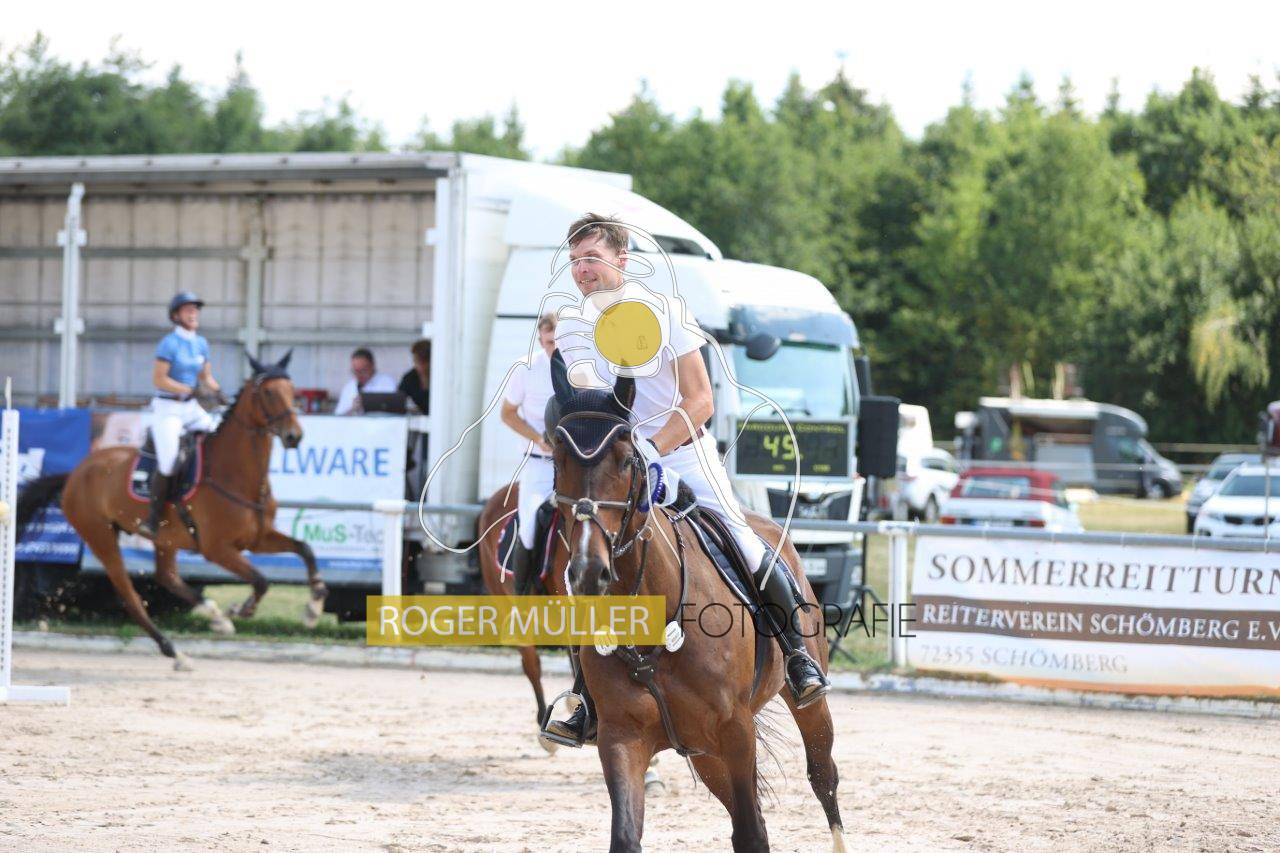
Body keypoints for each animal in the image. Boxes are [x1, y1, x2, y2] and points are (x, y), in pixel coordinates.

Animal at [16, 351, 328, 671]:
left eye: (292, 391)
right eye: (267, 392)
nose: (294, 436)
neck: (238, 475)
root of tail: (74, 474)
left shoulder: (257, 538)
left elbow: (304, 549)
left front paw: (313, 608)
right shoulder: (217, 549)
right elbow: (262, 580)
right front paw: (241, 610)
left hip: (165, 539)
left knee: (166, 577)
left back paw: (210, 621)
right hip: (100, 537)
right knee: (131, 596)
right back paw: (177, 647)